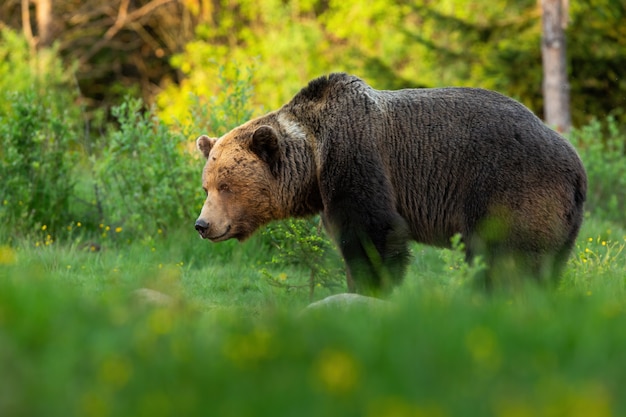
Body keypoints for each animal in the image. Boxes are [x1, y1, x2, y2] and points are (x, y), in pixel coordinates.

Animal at [195, 73, 584, 294]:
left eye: (227, 185)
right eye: (207, 187)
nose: (202, 224)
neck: (314, 161)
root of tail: (577, 165)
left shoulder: (357, 160)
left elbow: (373, 234)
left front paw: (372, 289)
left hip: (511, 187)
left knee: (505, 258)